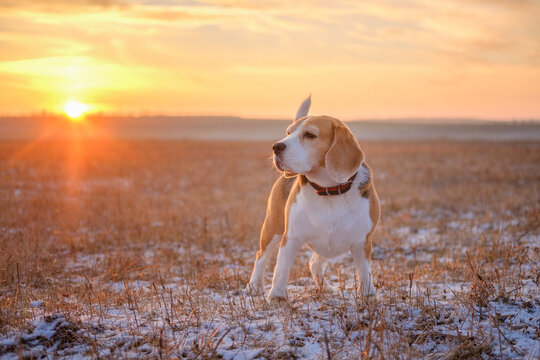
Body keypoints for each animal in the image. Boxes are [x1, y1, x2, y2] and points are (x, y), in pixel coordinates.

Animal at [246, 96, 380, 300]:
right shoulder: (291, 237)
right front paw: (277, 297)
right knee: (261, 256)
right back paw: (254, 286)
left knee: (314, 262)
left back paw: (325, 287)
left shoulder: (362, 240)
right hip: (273, 227)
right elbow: (280, 269)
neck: (329, 190)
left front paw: (368, 295)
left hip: (328, 243)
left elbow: (365, 272)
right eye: (288, 132)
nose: (276, 146)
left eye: (310, 135)